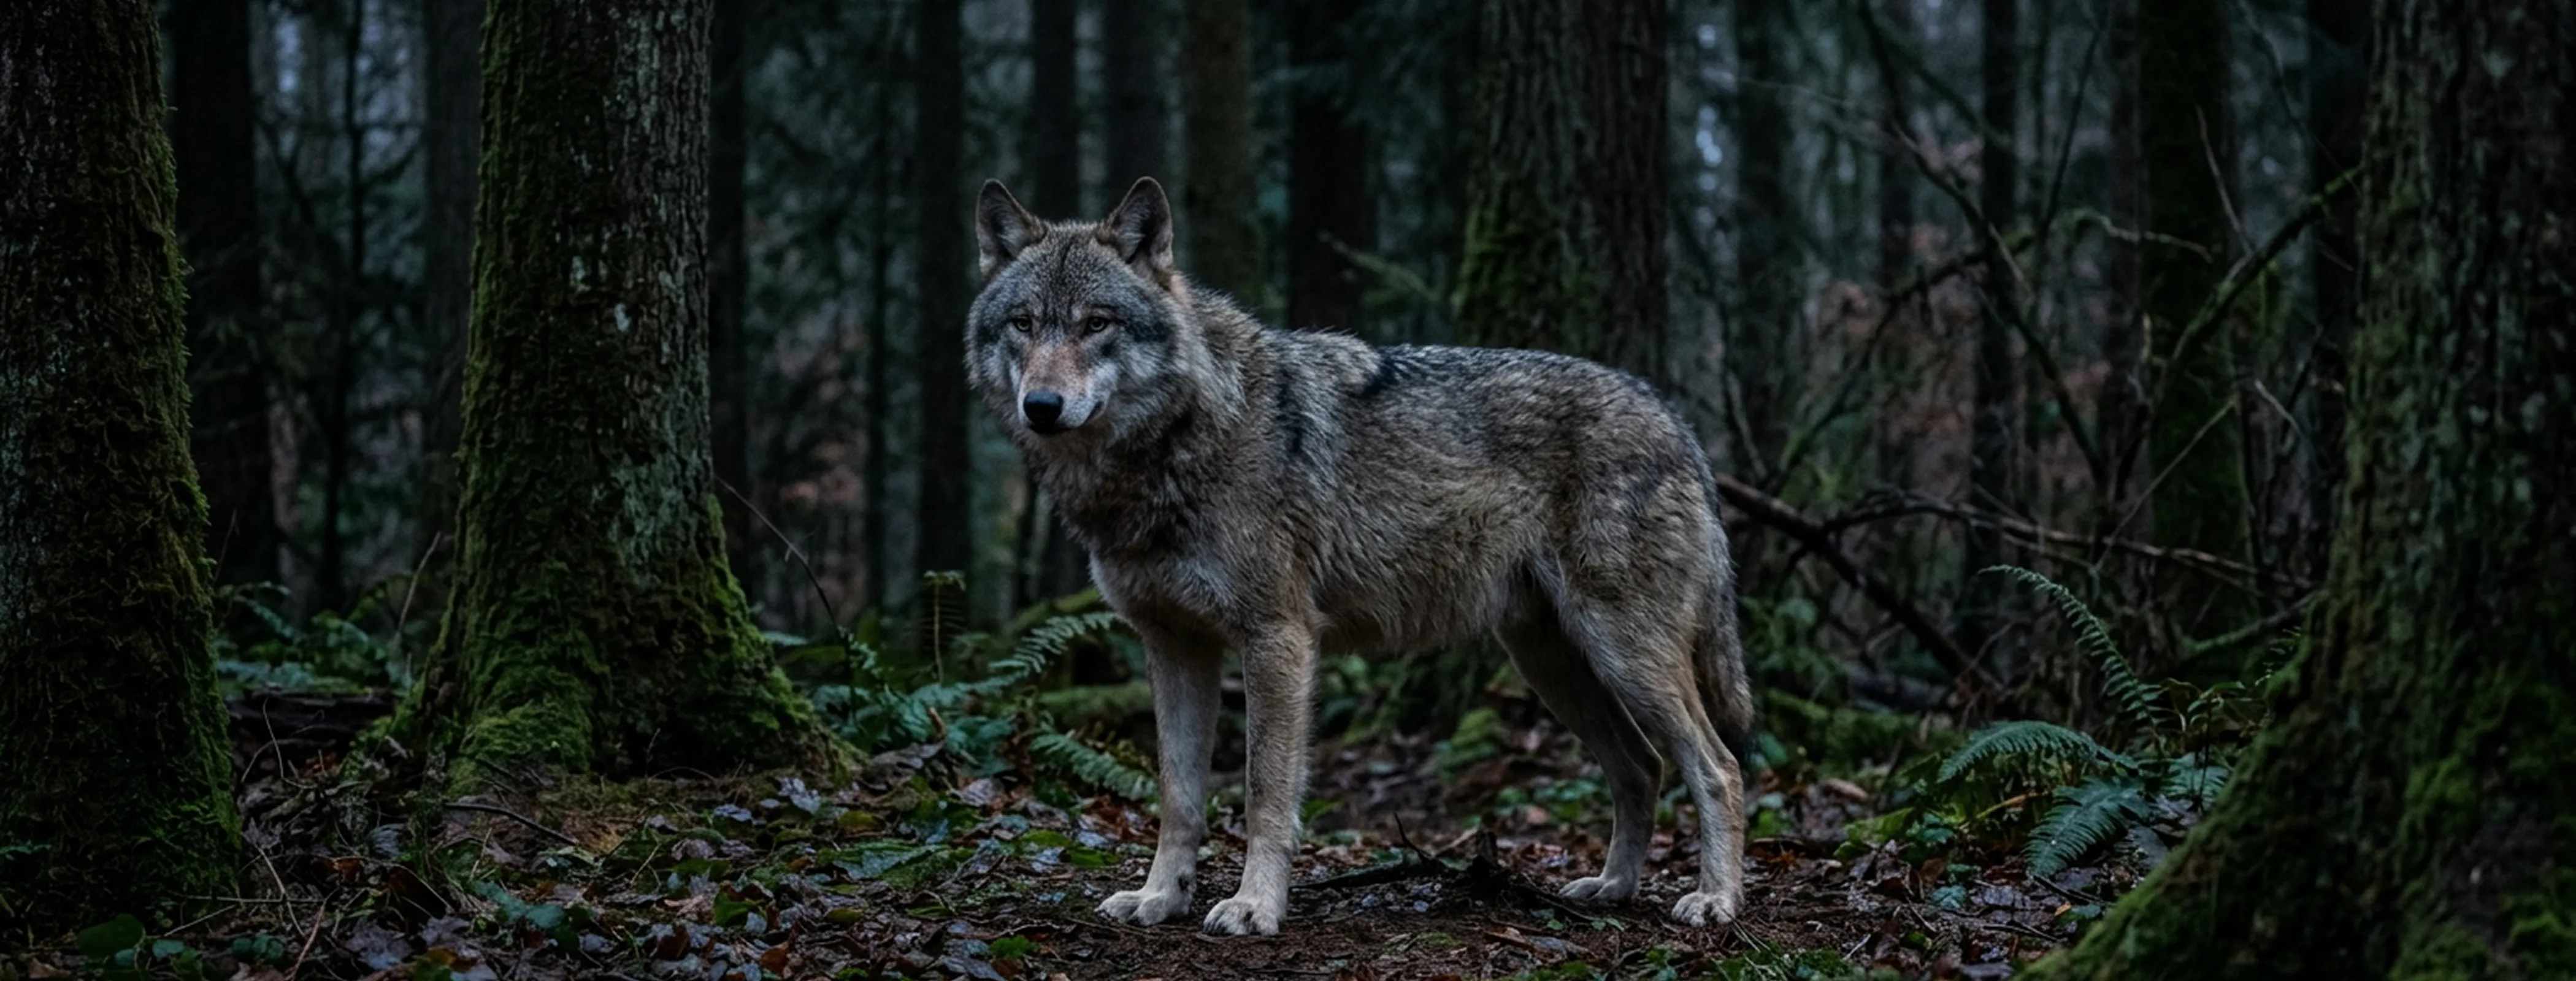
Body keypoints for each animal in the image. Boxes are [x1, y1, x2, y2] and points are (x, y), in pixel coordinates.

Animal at [964, 176, 1754, 936]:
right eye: (1024, 323)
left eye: (1096, 323)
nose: (1042, 405)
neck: (1178, 442)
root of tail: (1677, 421)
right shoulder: (1174, 647)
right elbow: (1179, 795)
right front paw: (1160, 897)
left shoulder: (1278, 638)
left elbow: (1263, 790)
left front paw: (1255, 906)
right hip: (1554, 664)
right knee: (1642, 767)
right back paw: (1613, 888)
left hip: (1622, 653)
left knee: (1718, 766)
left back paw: (1715, 900)